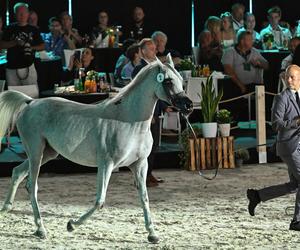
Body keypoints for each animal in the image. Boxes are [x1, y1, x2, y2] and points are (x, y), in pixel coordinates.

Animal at [0, 55, 192, 244]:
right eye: (168, 81)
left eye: (181, 79)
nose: (188, 106)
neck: (129, 121)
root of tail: (30, 102)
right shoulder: (107, 164)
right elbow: (100, 200)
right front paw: (71, 225)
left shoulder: (139, 165)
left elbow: (144, 197)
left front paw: (152, 234)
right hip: (35, 152)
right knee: (31, 185)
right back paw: (40, 229)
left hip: (47, 153)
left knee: (17, 172)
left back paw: (6, 209)